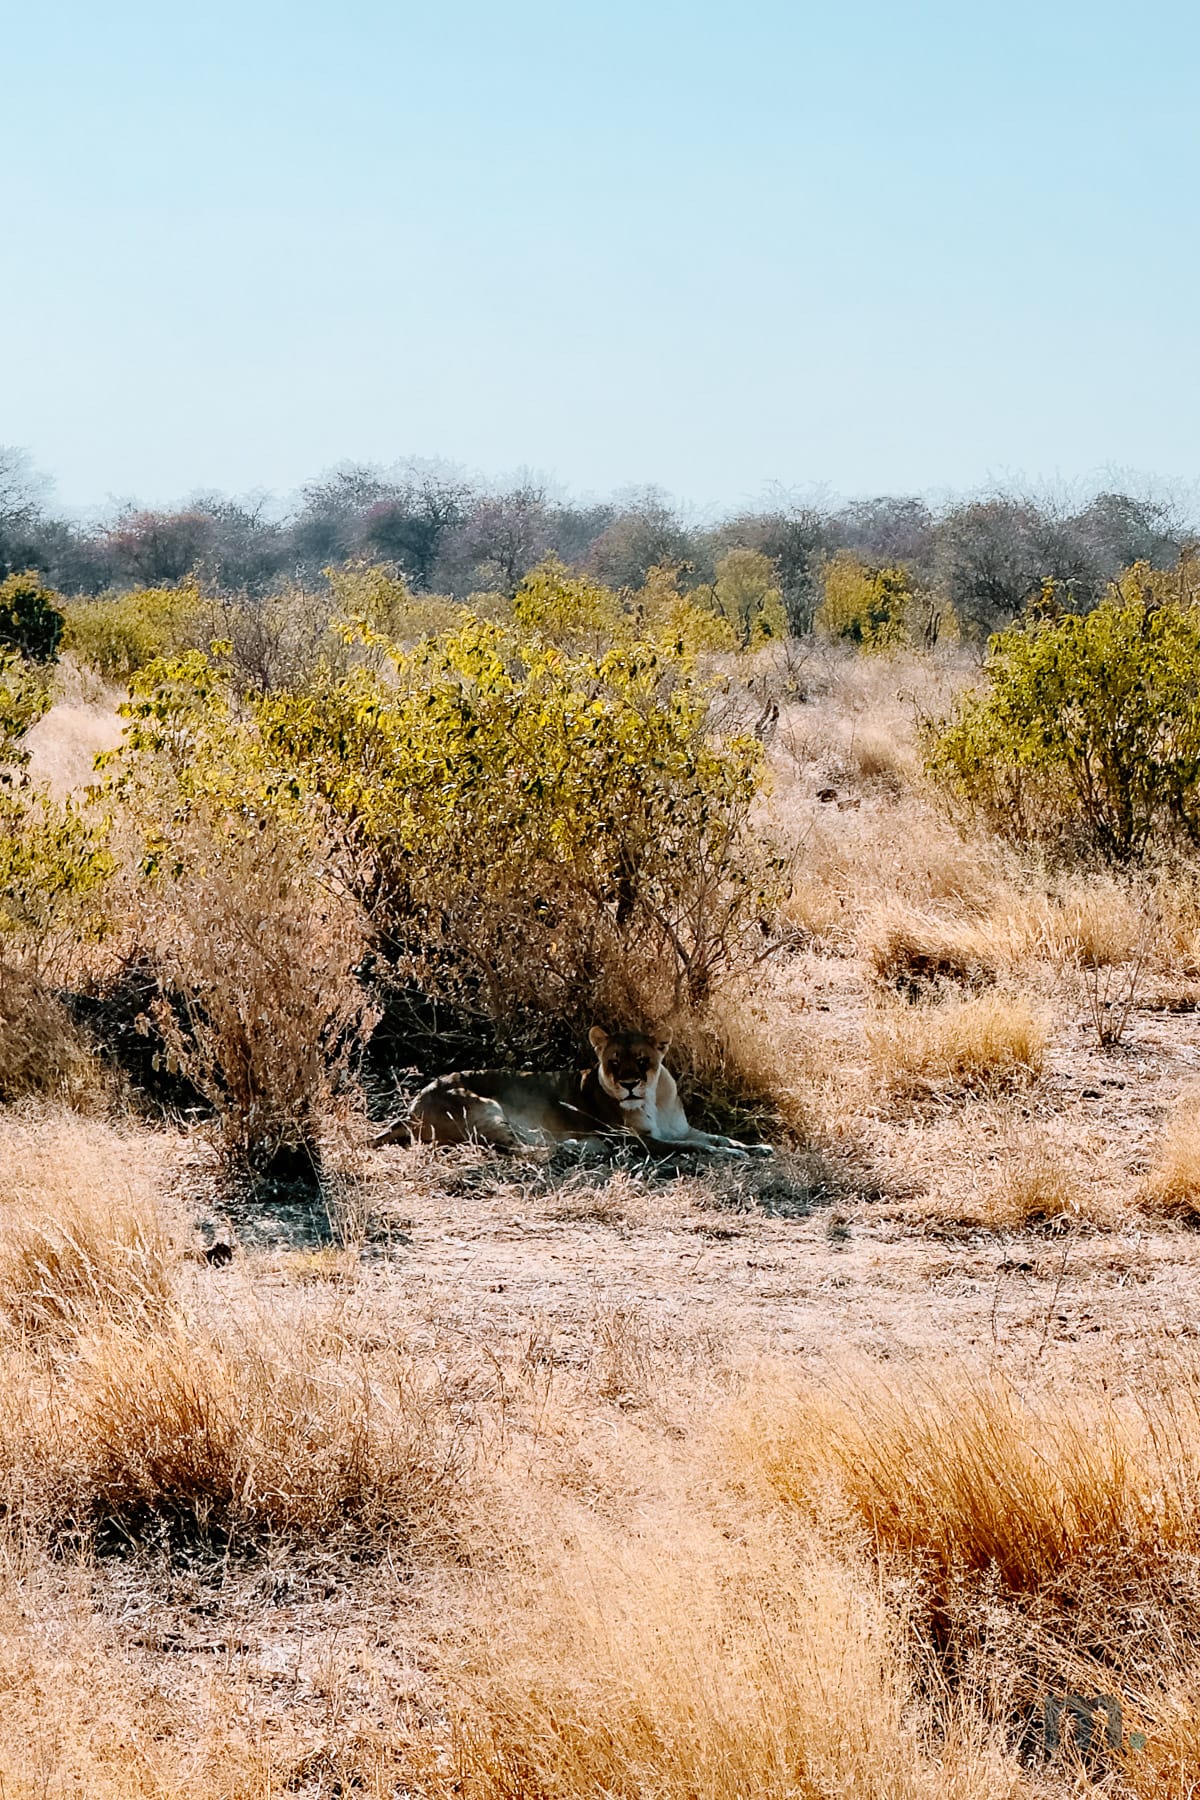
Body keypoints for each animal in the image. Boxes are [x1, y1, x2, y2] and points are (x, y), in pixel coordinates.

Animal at [374, 1026, 772, 1160]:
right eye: (615, 1063)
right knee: (519, 1151)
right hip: (484, 1108)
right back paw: (571, 1150)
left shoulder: (680, 1128)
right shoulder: (635, 1141)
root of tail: (410, 1108)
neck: (655, 1100)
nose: (629, 1084)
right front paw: (728, 1155)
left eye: (642, 1061)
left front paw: (754, 1147)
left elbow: (717, 1137)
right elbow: (693, 1147)